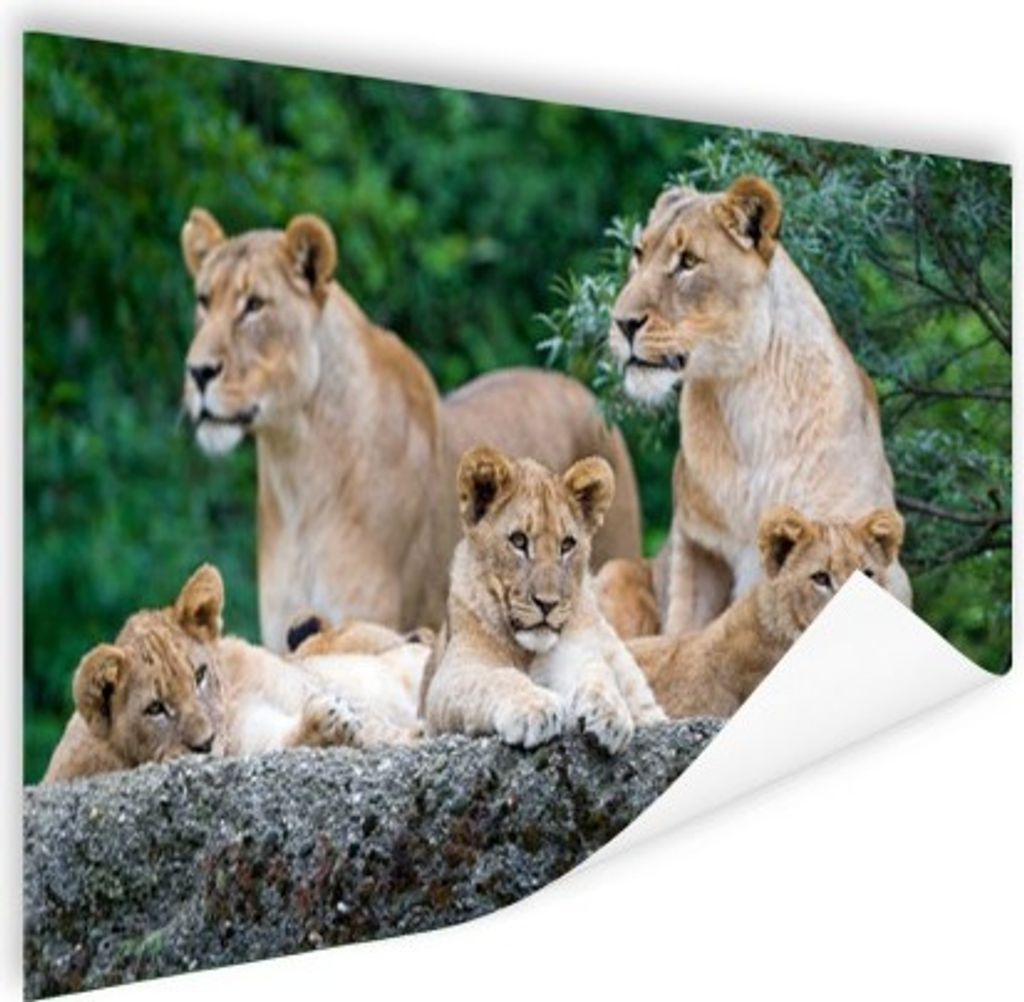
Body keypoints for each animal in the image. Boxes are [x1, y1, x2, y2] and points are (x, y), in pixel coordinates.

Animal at [42, 566, 428, 783]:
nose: (205, 743)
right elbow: (288, 740)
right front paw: (330, 723)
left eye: (199, 675)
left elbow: (377, 724)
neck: (234, 700)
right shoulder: (253, 741)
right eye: (155, 708)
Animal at [421, 445, 666, 753]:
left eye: (567, 545)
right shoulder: (451, 677)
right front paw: (535, 708)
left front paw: (610, 713)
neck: (527, 651)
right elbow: (497, 678)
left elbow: (597, 673)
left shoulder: (575, 652)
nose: (547, 604)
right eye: (518, 541)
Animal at [608, 175, 912, 634]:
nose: (621, 322)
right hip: (618, 570)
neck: (743, 399)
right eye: (638, 254)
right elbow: (687, 627)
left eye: (689, 261)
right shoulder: (697, 547)